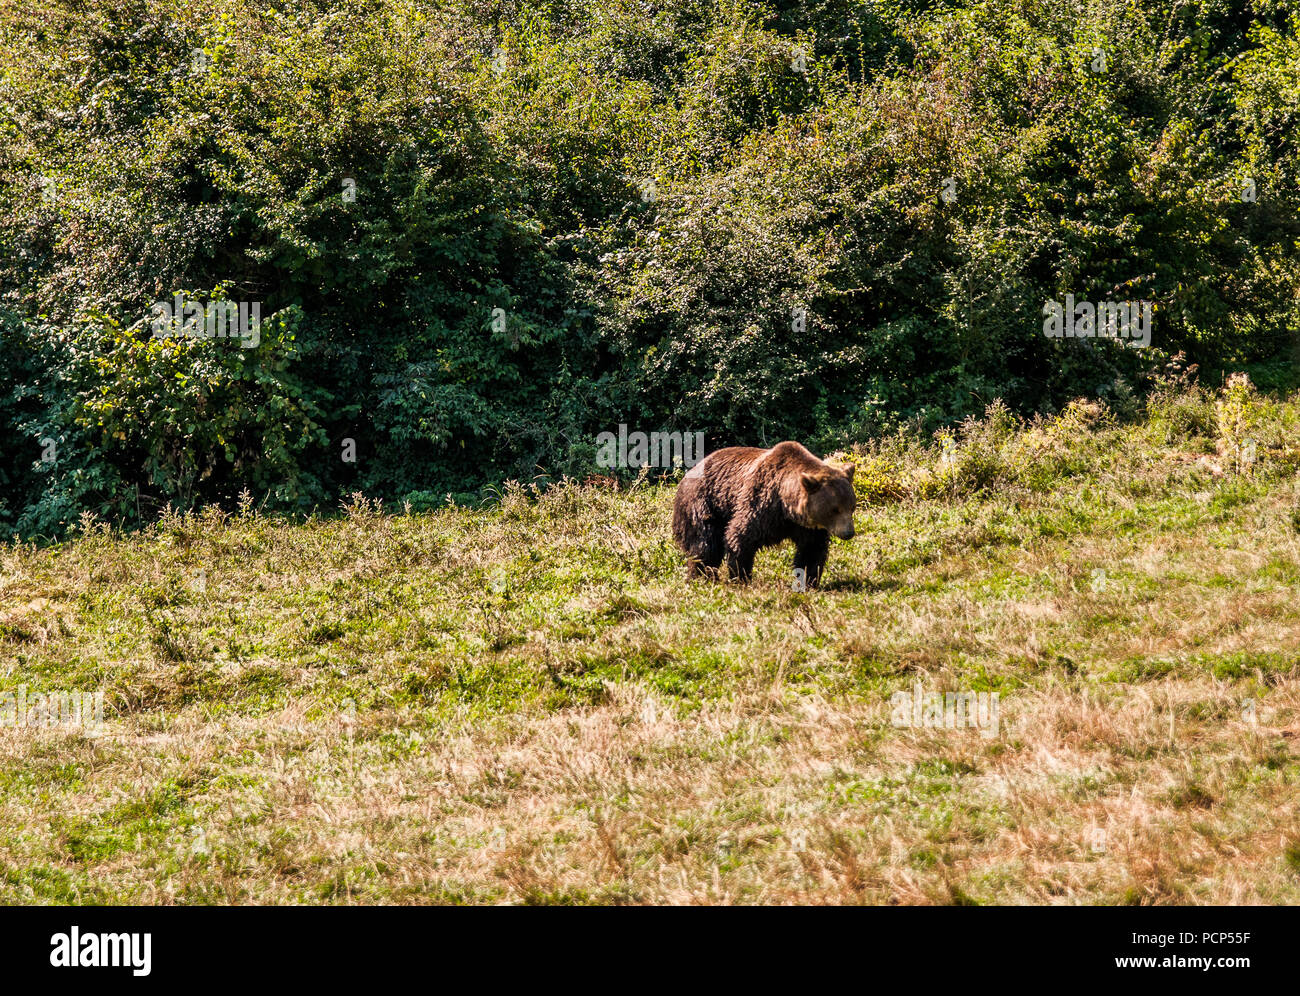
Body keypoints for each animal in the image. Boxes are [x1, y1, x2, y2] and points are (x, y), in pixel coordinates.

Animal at [676, 442, 857, 585]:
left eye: (851, 507)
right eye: (835, 509)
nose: (848, 533)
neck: (786, 505)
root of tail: (687, 473)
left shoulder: (806, 526)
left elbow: (811, 550)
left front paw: (808, 581)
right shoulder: (762, 503)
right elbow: (741, 537)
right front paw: (741, 577)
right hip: (703, 503)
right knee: (705, 544)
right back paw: (702, 576)